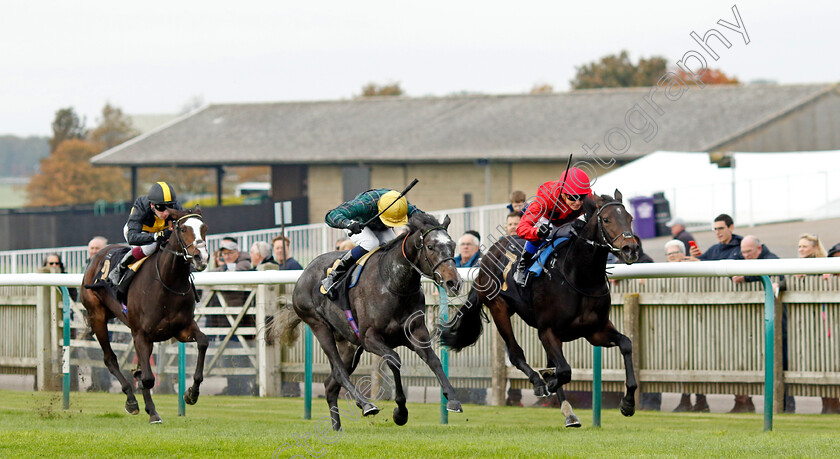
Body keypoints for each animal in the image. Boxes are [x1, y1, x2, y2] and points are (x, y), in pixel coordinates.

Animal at [81, 208, 210, 424]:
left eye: (204, 228)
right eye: (183, 229)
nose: (201, 257)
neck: (168, 282)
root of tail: (97, 255)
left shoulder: (182, 329)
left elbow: (203, 342)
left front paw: (191, 393)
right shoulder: (141, 334)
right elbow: (148, 378)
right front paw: (153, 413)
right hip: (97, 315)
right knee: (110, 359)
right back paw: (131, 400)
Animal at [272, 212, 462, 432]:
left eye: (453, 245)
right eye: (430, 246)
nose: (454, 283)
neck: (393, 284)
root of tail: (303, 274)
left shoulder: (417, 333)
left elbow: (434, 360)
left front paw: (453, 399)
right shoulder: (369, 337)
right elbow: (394, 359)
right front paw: (400, 413)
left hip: (349, 346)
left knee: (330, 384)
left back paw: (337, 427)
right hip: (319, 326)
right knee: (338, 372)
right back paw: (366, 404)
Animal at [442, 190, 640, 428]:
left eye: (629, 218)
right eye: (607, 219)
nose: (631, 249)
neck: (580, 277)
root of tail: (486, 257)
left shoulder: (595, 331)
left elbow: (626, 344)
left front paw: (628, 403)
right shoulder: (548, 330)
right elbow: (563, 370)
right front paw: (547, 382)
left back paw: (568, 412)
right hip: (499, 308)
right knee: (517, 354)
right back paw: (540, 383)